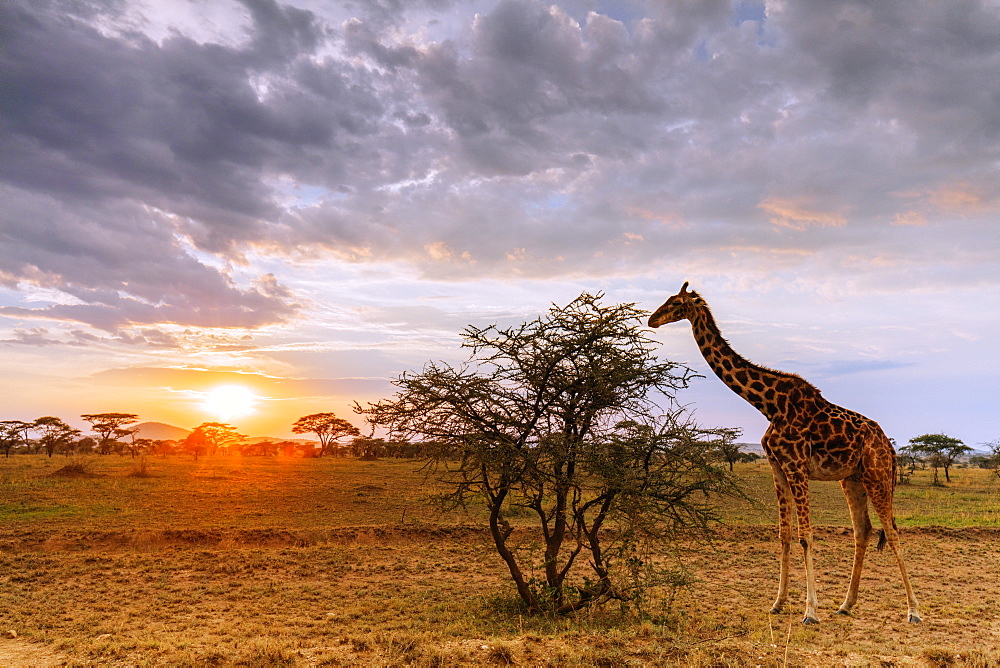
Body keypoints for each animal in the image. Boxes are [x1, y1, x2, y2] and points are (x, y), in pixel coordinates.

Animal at [648, 284, 920, 628]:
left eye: (676, 303)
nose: (652, 320)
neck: (768, 405)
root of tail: (890, 447)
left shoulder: (797, 465)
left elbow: (806, 536)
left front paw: (810, 611)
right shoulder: (777, 467)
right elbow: (784, 535)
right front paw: (777, 604)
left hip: (877, 474)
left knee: (893, 532)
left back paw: (913, 611)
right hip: (852, 479)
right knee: (864, 530)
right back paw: (846, 605)